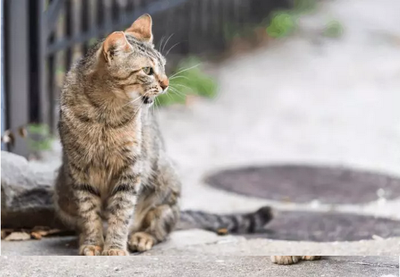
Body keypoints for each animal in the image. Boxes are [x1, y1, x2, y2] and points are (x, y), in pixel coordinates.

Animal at [53, 12, 272, 254]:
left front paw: (115, 247)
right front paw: (93, 243)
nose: (166, 84)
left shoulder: (131, 169)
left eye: (164, 66)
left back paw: (141, 237)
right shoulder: (79, 168)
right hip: (61, 192)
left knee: (161, 227)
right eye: (148, 71)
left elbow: (121, 213)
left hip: (166, 186)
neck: (105, 113)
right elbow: (89, 213)